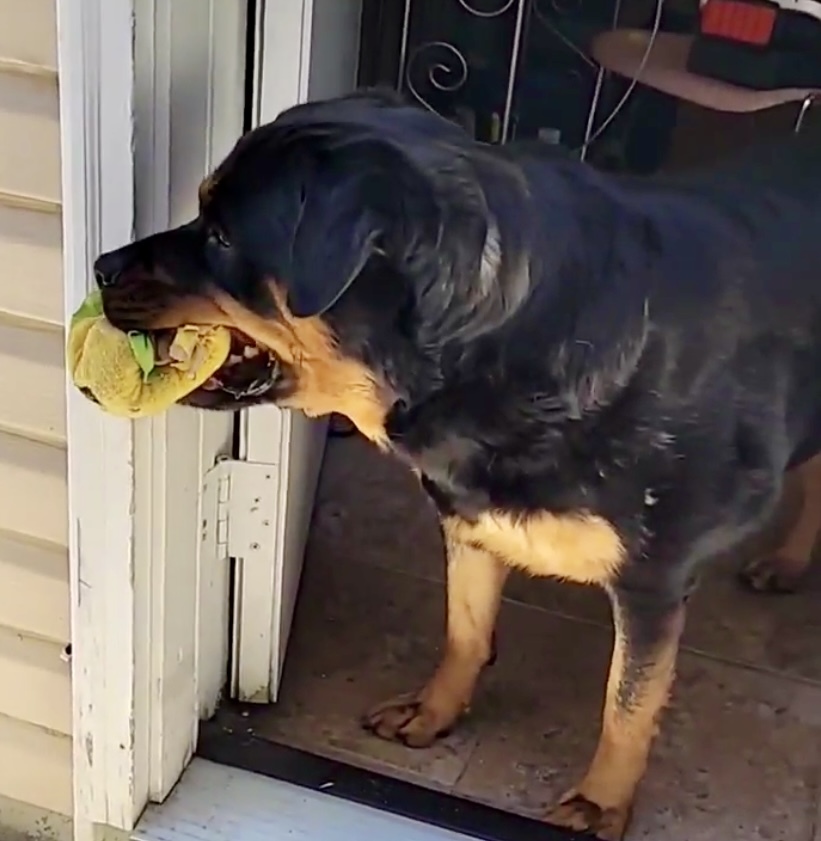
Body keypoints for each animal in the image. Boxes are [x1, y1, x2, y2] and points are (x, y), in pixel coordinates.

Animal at [93, 88, 820, 836]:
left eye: (222, 238)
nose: (100, 266)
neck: (498, 347)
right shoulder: (469, 518)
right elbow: (464, 630)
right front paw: (434, 710)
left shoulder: (653, 578)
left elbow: (627, 706)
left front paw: (597, 805)